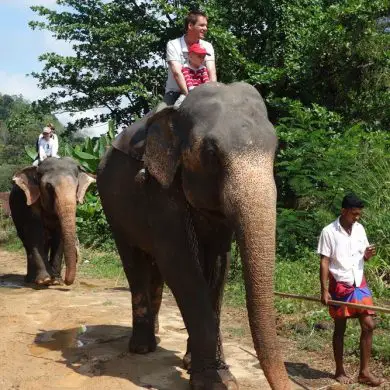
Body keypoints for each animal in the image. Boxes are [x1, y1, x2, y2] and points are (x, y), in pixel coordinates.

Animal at [9, 156, 95, 286]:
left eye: (77, 187)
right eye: (49, 187)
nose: (66, 281)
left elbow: (59, 237)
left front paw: (56, 281)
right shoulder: (30, 203)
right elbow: (35, 234)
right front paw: (45, 280)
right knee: (28, 243)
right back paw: (31, 280)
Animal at [97, 83, 290, 390]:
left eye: (275, 148)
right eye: (211, 153)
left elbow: (219, 265)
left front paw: (203, 368)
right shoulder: (159, 189)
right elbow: (180, 264)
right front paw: (214, 381)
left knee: (154, 269)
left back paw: (156, 335)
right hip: (111, 203)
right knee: (134, 262)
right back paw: (142, 347)